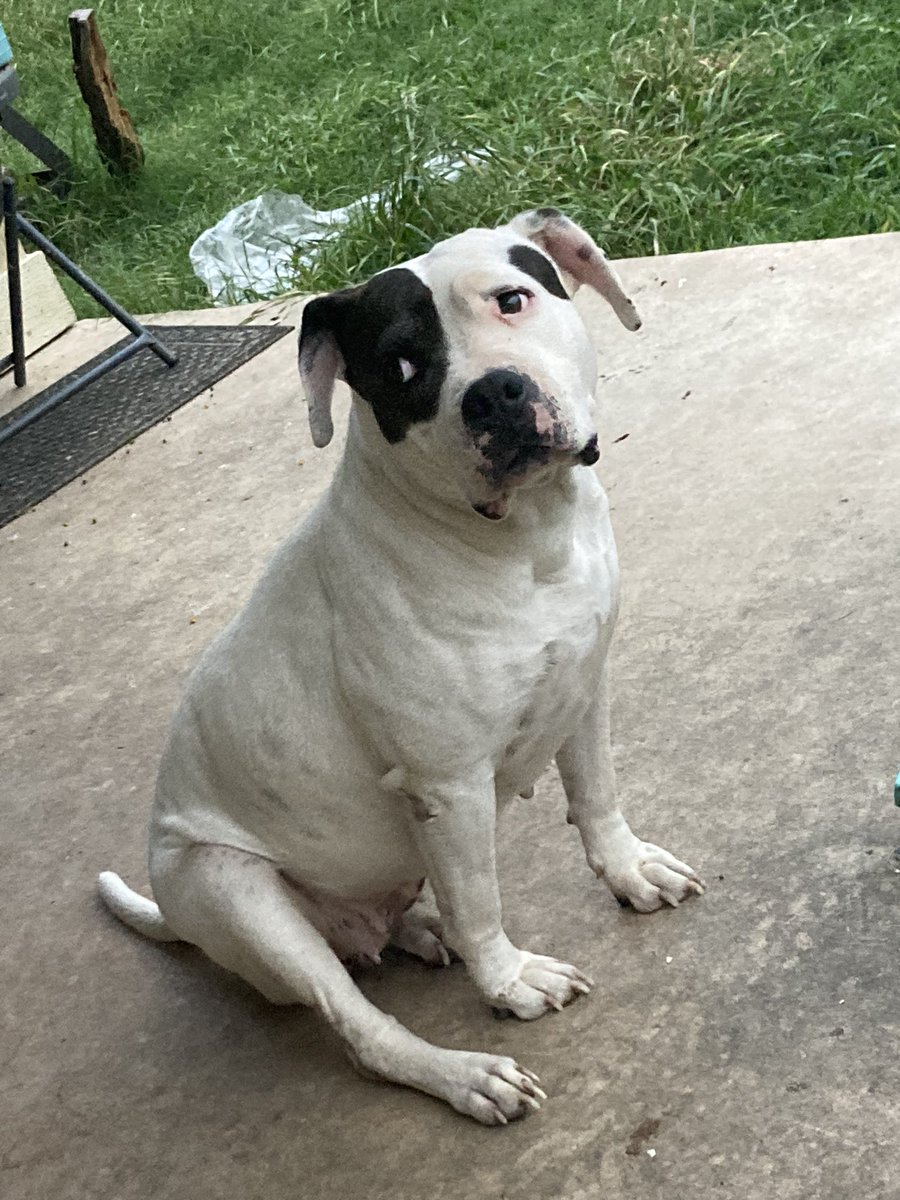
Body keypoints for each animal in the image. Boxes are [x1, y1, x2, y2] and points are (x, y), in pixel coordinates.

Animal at [100, 208, 705, 1123]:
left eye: (513, 299)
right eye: (401, 366)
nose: (493, 394)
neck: (524, 542)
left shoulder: (584, 685)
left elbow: (598, 798)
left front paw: (630, 872)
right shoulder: (447, 785)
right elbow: (482, 899)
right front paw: (511, 982)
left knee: (399, 922)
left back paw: (418, 931)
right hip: (235, 888)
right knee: (363, 1031)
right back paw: (464, 1072)